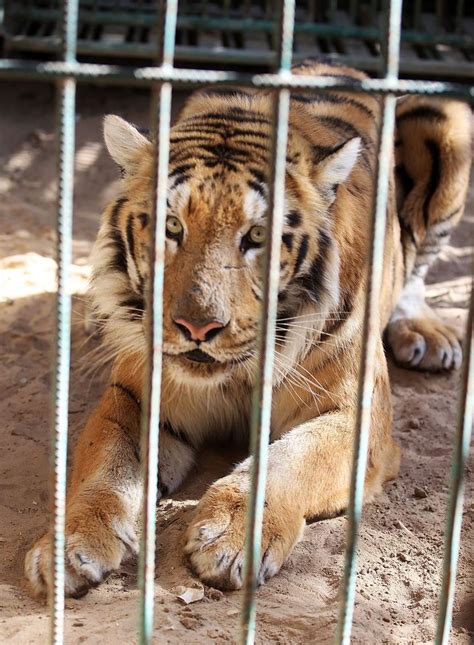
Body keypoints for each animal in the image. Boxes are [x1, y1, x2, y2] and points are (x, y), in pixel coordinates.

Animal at [25, 57, 470, 596]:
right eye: (172, 227)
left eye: (257, 236)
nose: (196, 328)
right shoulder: (136, 395)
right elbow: (102, 466)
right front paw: (68, 547)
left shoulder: (354, 414)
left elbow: (288, 461)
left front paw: (231, 538)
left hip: (446, 119)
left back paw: (427, 334)